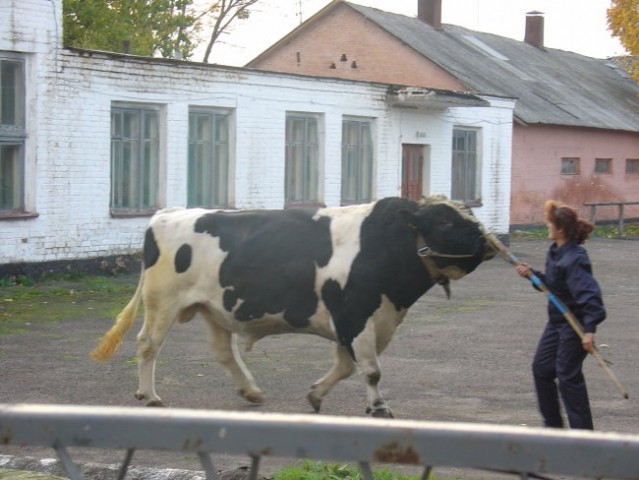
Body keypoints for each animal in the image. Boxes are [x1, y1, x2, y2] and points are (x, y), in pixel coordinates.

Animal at [91, 195, 496, 416]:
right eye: (444, 220)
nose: (486, 240)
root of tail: (167, 214)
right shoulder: (355, 316)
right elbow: (370, 370)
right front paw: (379, 407)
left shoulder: (368, 321)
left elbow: (347, 367)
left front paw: (316, 395)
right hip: (164, 300)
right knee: (148, 344)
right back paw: (150, 396)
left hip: (214, 307)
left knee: (223, 351)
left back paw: (251, 391)